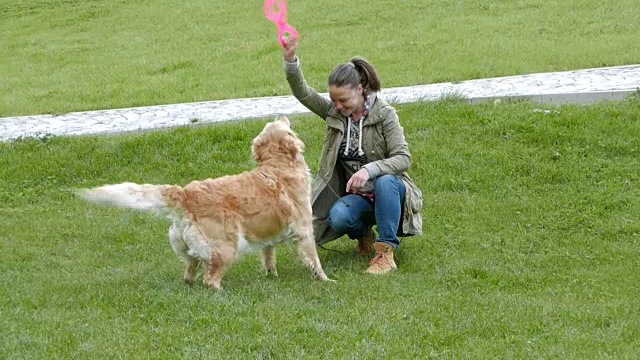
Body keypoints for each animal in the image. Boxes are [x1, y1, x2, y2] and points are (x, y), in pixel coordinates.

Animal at [78, 116, 332, 292]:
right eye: (279, 124)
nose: (281, 114)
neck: (277, 165)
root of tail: (186, 193)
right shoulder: (304, 229)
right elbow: (314, 260)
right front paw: (326, 280)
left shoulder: (268, 233)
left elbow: (269, 255)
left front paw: (272, 275)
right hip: (226, 248)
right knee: (209, 279)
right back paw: (223, 292)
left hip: (188, 248)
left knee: (190, 273)